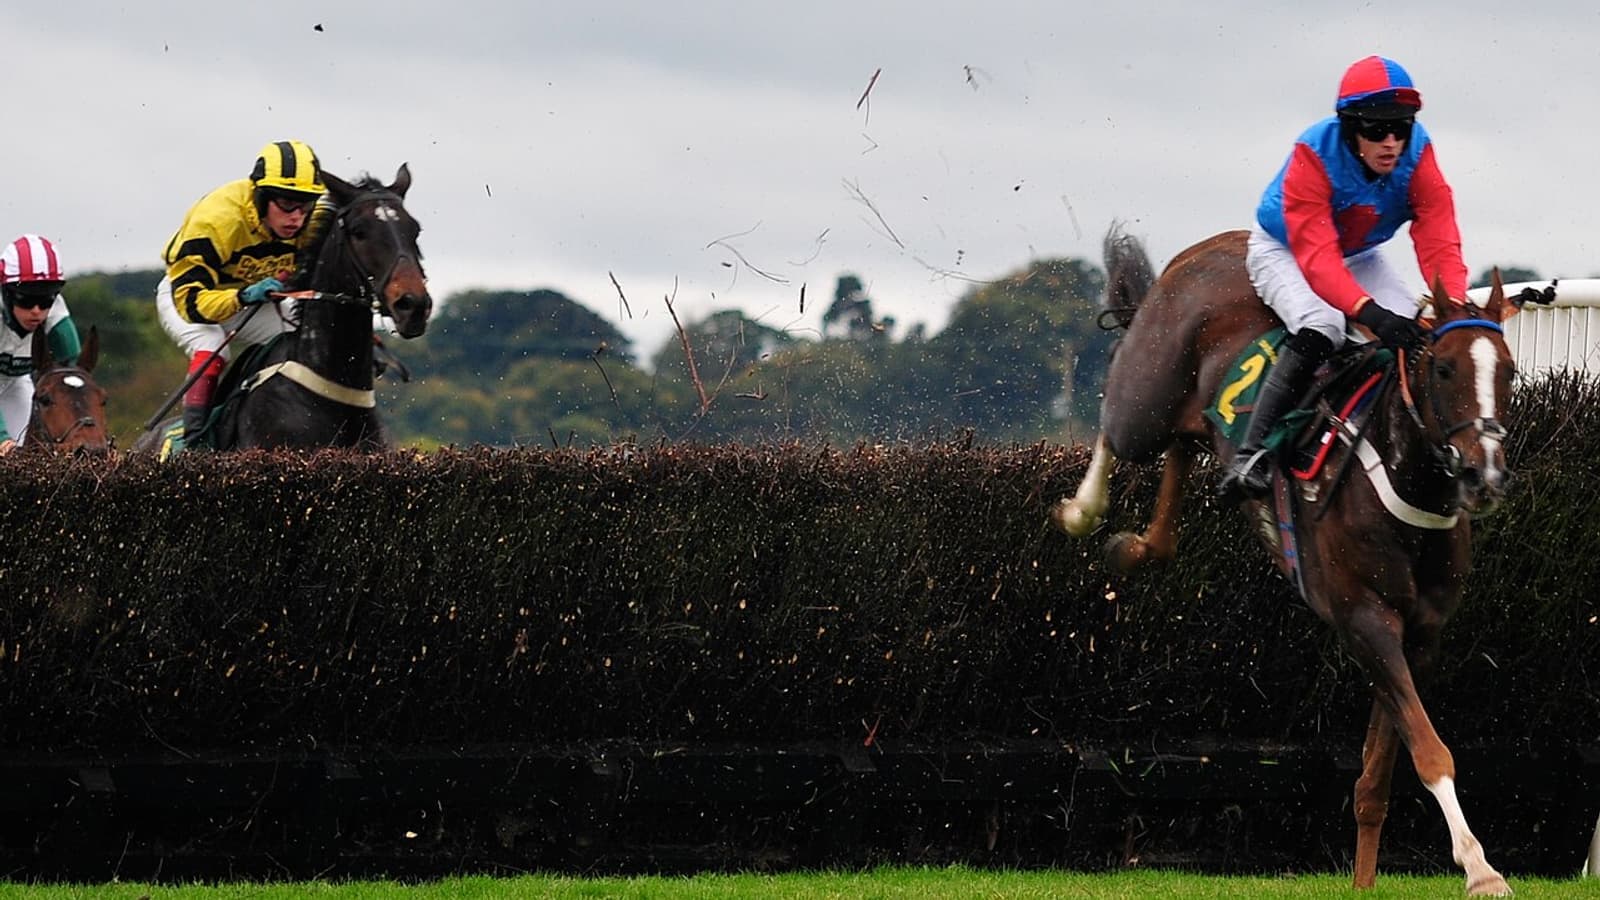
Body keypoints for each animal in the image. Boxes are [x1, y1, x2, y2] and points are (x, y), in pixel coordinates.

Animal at [1052, 226, 1515, 895]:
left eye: (1508, 372)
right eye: (1445, 367)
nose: (1485, 476)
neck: (1402, 485)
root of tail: (1211, 245)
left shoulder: (1421, 635)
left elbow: (1380, 770)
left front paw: (1366, 881)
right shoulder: (1364, 621)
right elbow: (1430, 752)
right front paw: (1480, 870)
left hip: (1193, 423)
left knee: (1177, 464)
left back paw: (1136, 545)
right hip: (1148, 392)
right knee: (1119, 427)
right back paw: (1081, 512)